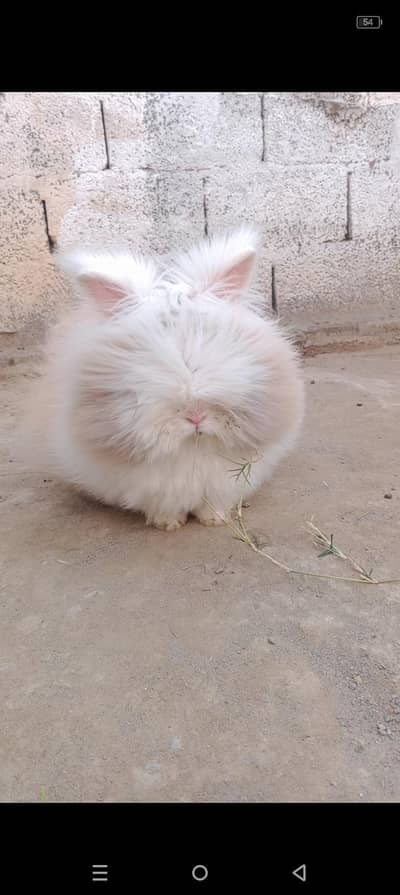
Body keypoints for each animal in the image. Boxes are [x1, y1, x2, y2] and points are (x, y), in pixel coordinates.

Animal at [22, 227, 304, 530]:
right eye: (147, 359)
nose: (195, 417)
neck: (192, 447)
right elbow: (162, 503)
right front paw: (168, 524)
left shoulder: (224, 479)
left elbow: (213, 501)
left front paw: (215, 521)